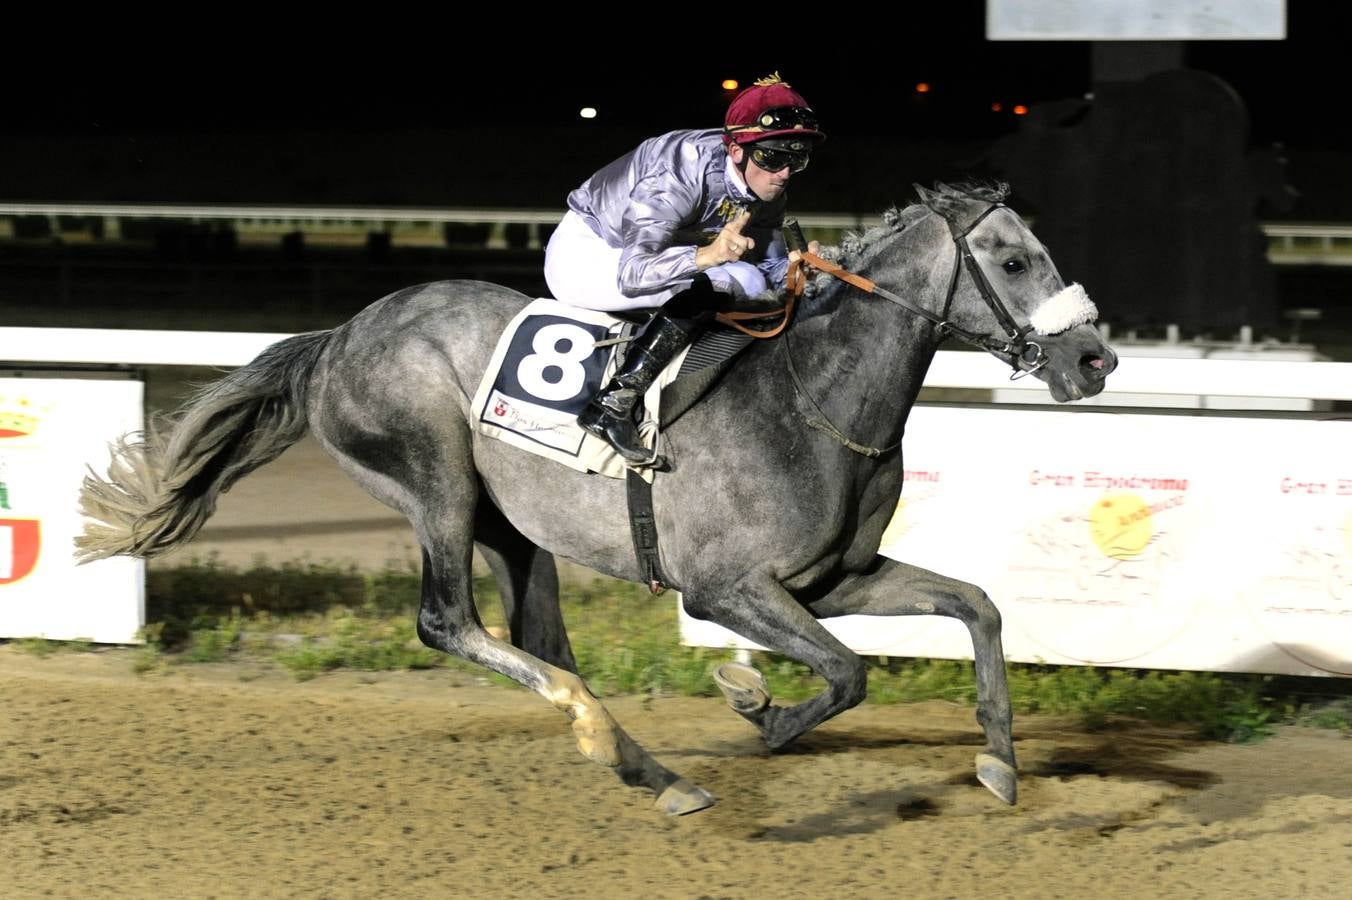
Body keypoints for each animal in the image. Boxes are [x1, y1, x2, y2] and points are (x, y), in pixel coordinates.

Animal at [76, 182, 1119, 810]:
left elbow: (975, 607)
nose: (1095, 359)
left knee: (538, 638)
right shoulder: (725, 589)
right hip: (436, 480)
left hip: (513, 526)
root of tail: (339, 336)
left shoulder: (831, 580)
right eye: (1014, 260)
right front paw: (757, 707)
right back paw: (614, 745)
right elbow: (848, 674)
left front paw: (999, 761)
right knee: (448, 623)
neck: (812, 397)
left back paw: (642, 765)